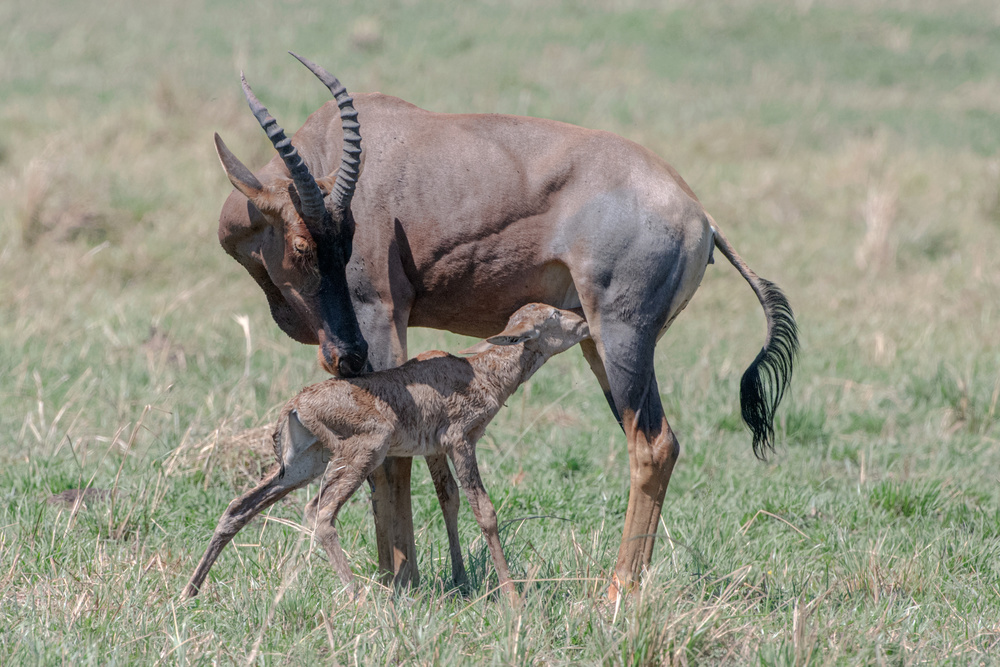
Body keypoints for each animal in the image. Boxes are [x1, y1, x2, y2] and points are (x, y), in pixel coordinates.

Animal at [184, 304, 588, 600]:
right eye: (553, 315)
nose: (584, 323)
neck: (478, 370)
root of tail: (296, 403)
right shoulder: (461, 442)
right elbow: (484, 511)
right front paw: (512, 598)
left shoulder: (434, 450)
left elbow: (450, 500)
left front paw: (461, 582)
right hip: (363, 453)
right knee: (320, 513)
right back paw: (359, 597)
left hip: (303, 465)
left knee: (240, 506)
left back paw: (190, 592)